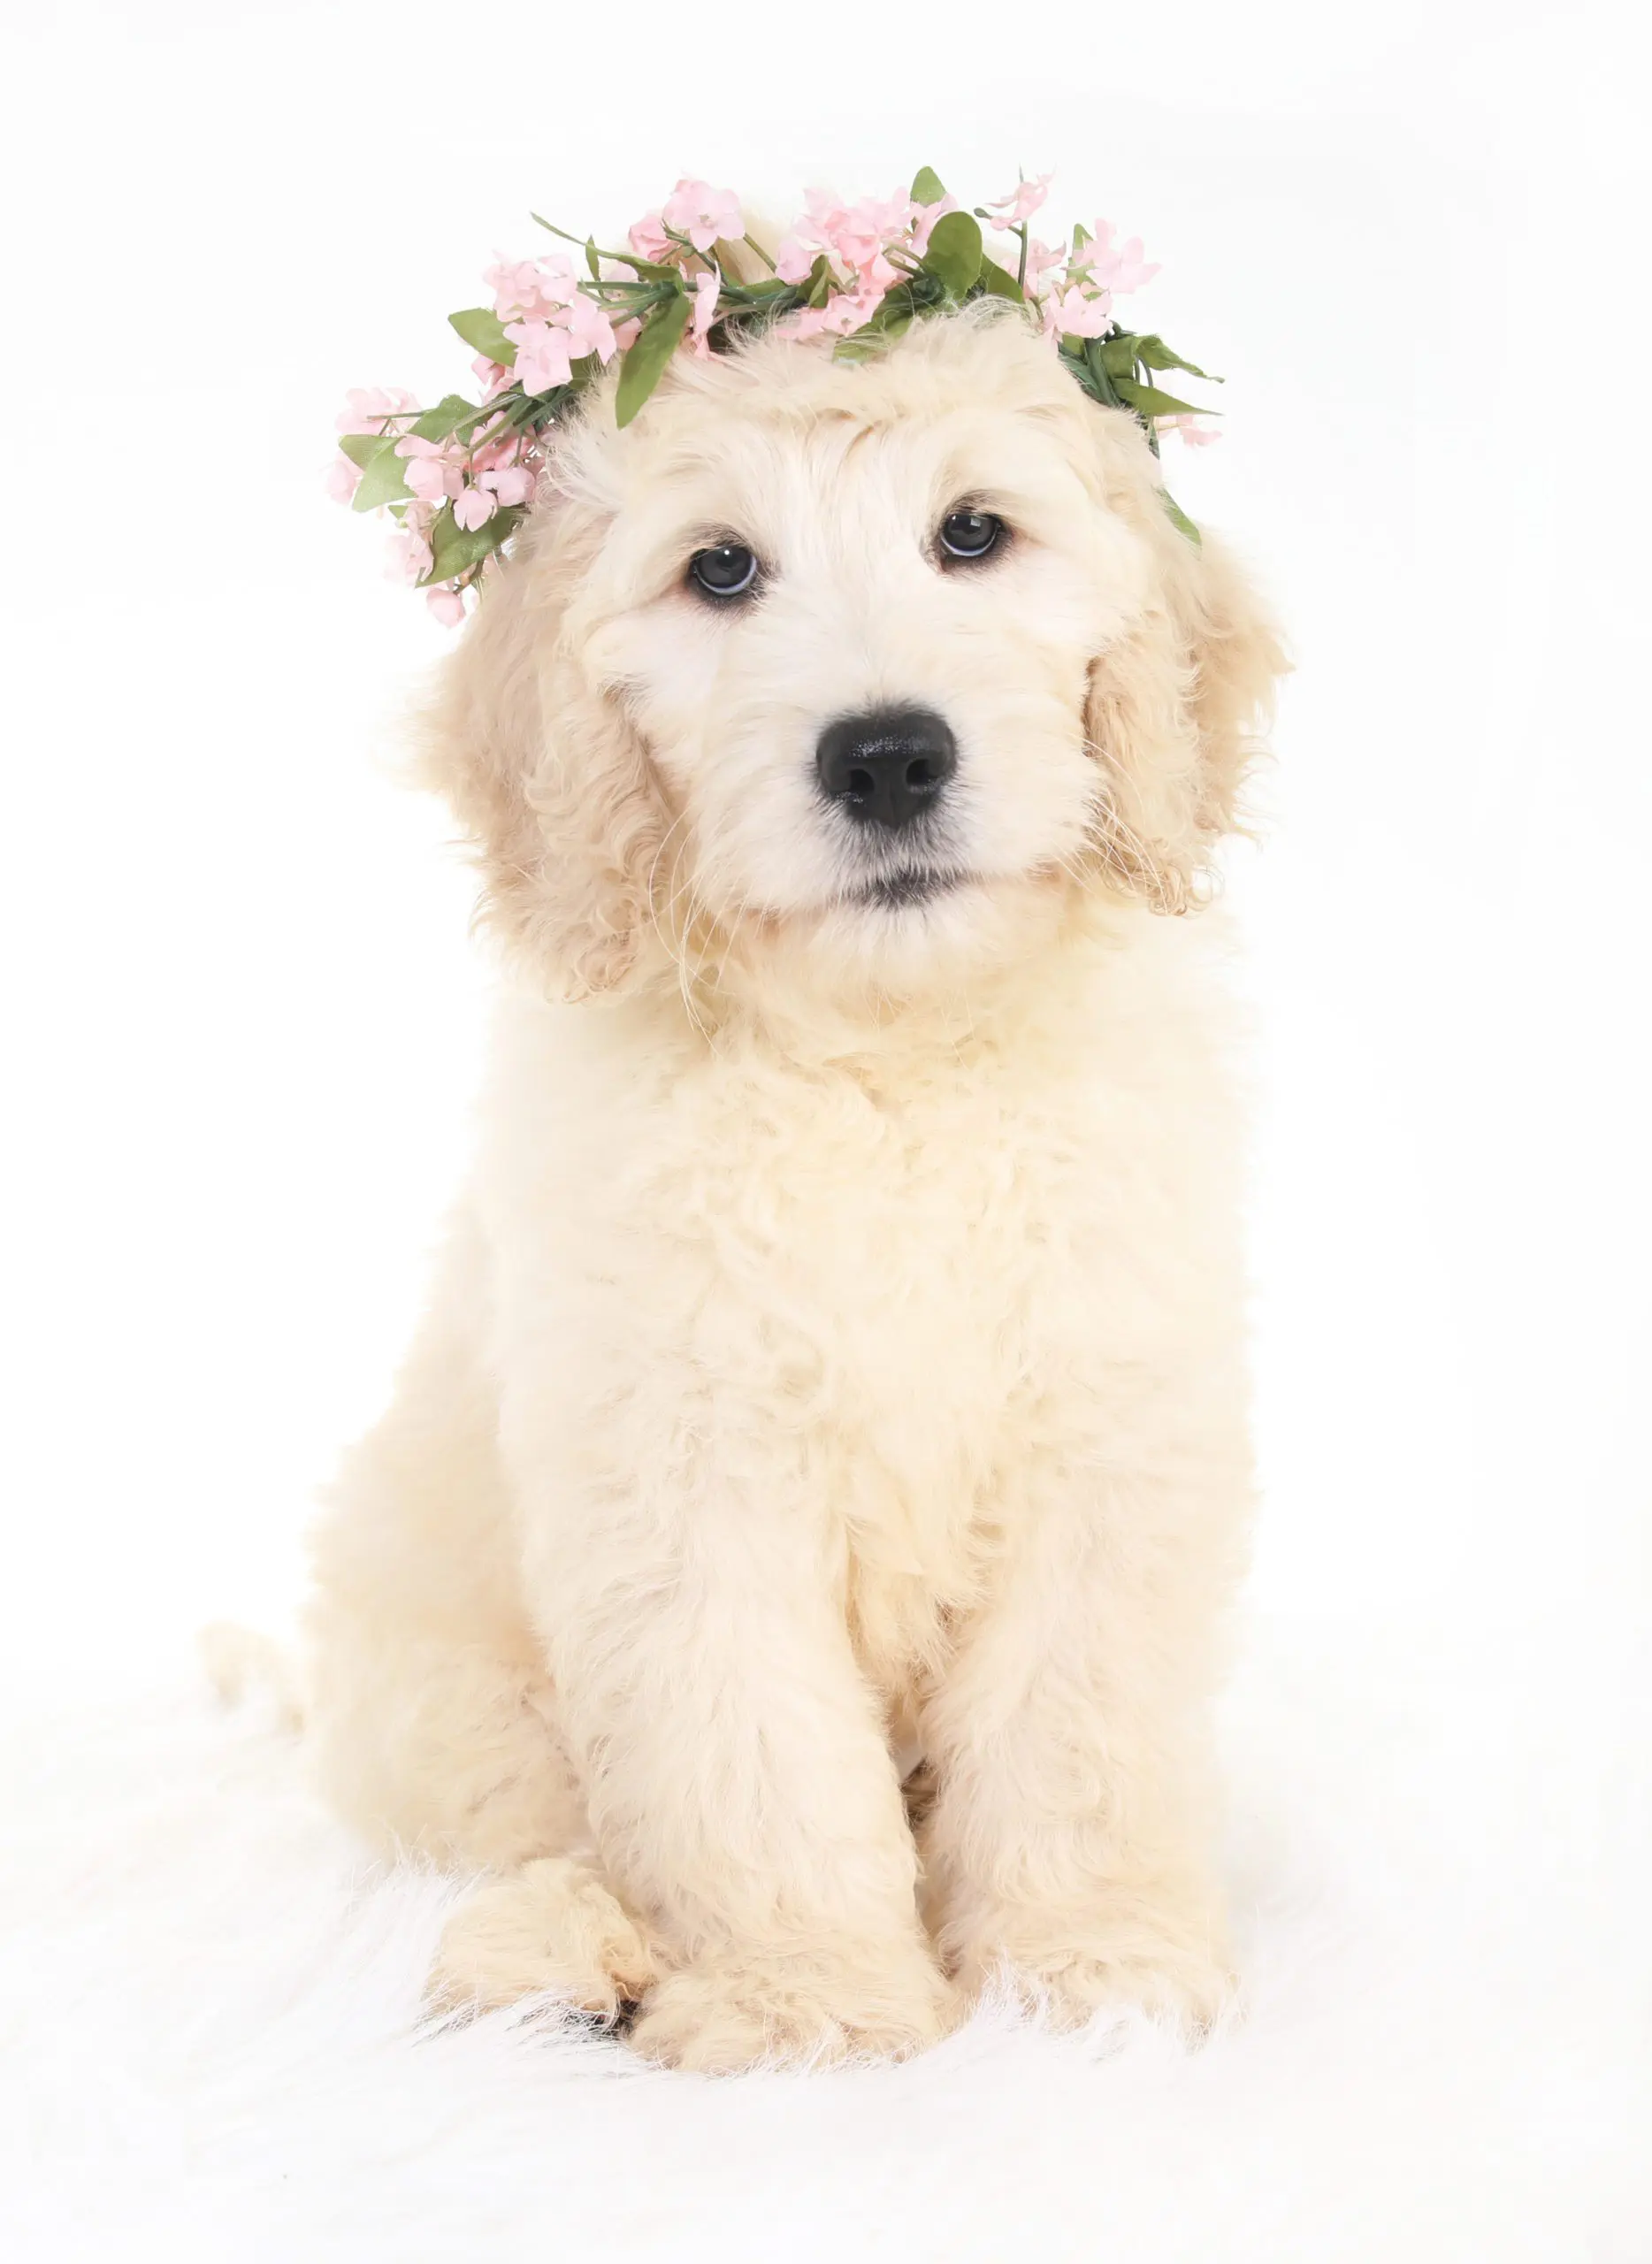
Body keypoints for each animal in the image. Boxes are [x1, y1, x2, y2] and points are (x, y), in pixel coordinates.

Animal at [302, 296, 1276, 2073]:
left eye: (973, 534)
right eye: (720, 570)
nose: (887, 759)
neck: (884, 1066)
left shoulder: (1102, 1438)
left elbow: (1076, 1732)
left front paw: (1087, 1970)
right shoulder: (685, 1479)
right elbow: (747, 1754)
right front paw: (804, 2001)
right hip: (437, 1694)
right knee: (530, 1833)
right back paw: (560, 1955)